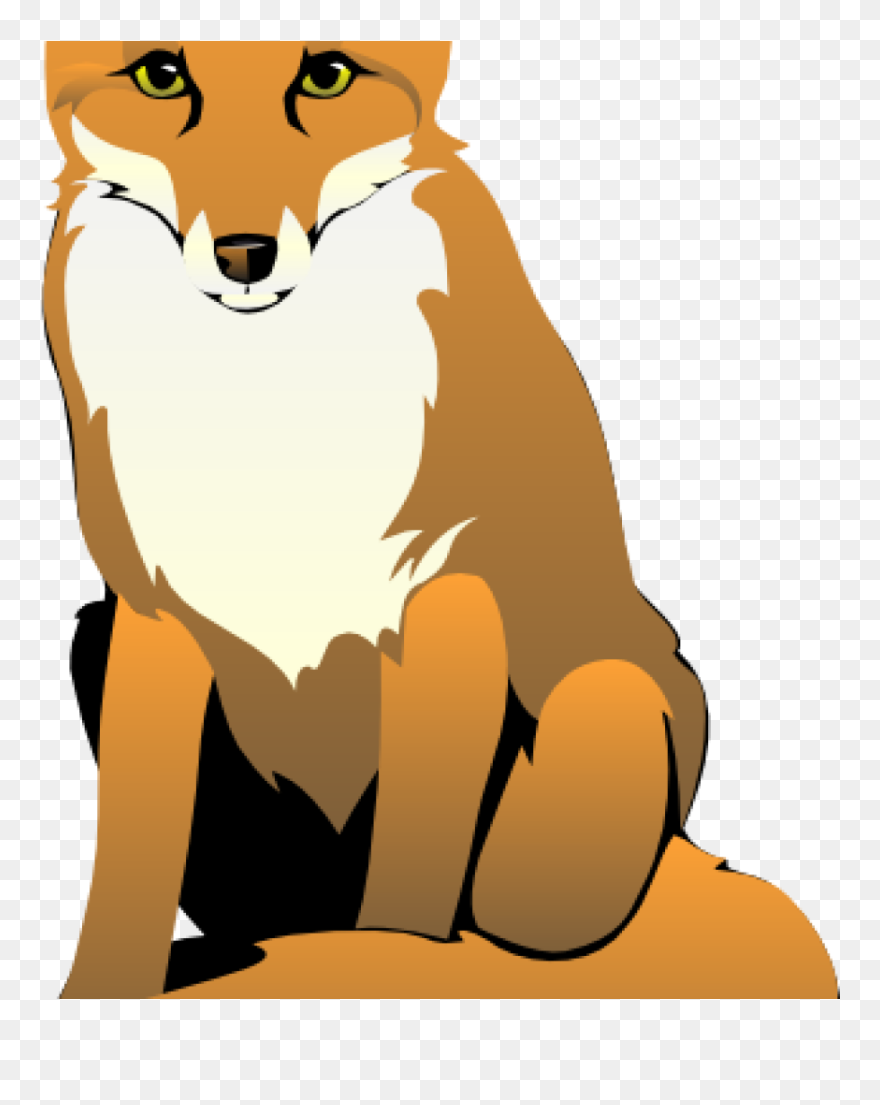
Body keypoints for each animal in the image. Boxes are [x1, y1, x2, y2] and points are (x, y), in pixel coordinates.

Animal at [41, 40, 834, 999]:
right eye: (162, 75)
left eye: (327, 74)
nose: (245, 255)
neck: (271, 412)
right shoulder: (147, 612)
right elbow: (130, 866)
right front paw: (98, 988)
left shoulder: (449, 596)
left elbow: (413, 876)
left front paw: (397, 963)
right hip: (97, 643)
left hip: (599, 719)